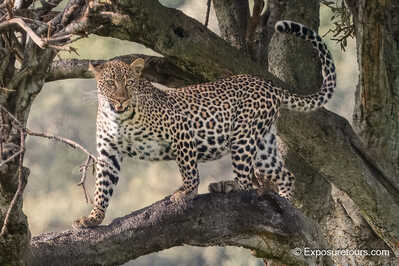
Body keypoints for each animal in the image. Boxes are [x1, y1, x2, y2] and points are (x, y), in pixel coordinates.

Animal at [72, 20, 338, 229]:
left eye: (128, 83)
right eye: (109, 83)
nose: (121, 99)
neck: (119, 118)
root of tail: (268, 84)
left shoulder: (181, 130)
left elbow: (188, 168)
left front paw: (186, 192)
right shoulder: (108, 153)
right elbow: (102, 188)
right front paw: (93, 218)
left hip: (242, 137)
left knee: (246, 180)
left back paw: (228, 185)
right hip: (264, 144)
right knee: (285, 174)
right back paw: (286, 204)